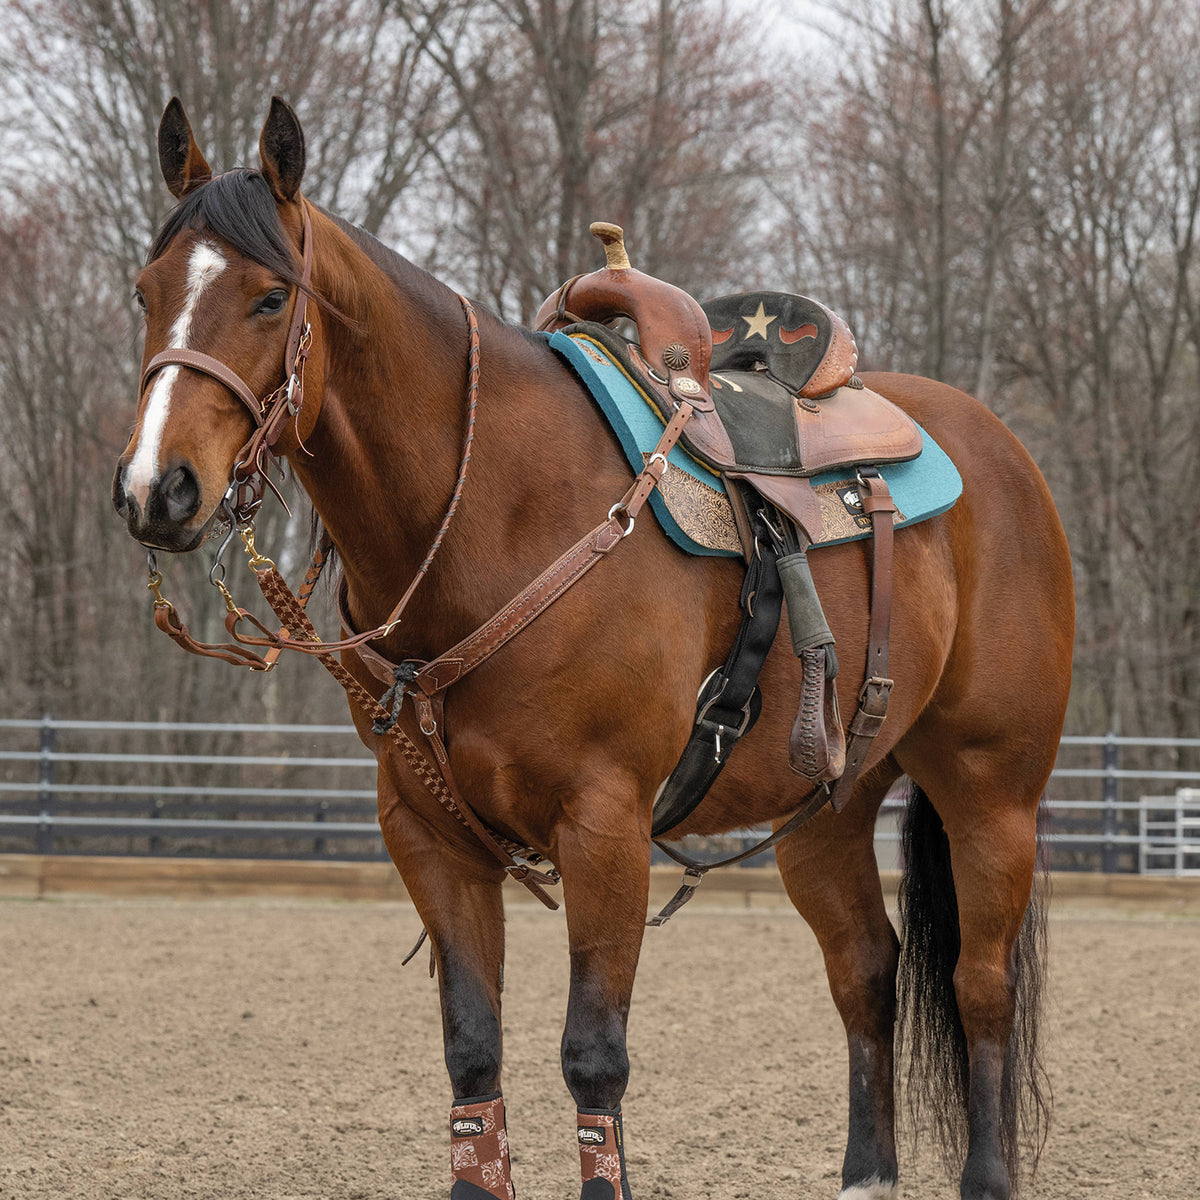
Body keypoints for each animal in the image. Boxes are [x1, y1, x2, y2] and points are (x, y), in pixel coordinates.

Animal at [112, 96, 1074, 1200]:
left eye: (271, 298)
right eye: (145, 292)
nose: (155, 488)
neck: (498, 510)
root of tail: (1001, 454)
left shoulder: (604, 824)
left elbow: (592, 1058)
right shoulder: (428, 835)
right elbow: (473, 1055)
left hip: (990, 790)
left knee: (979, 984)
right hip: (825, 810)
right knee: (868, 971)